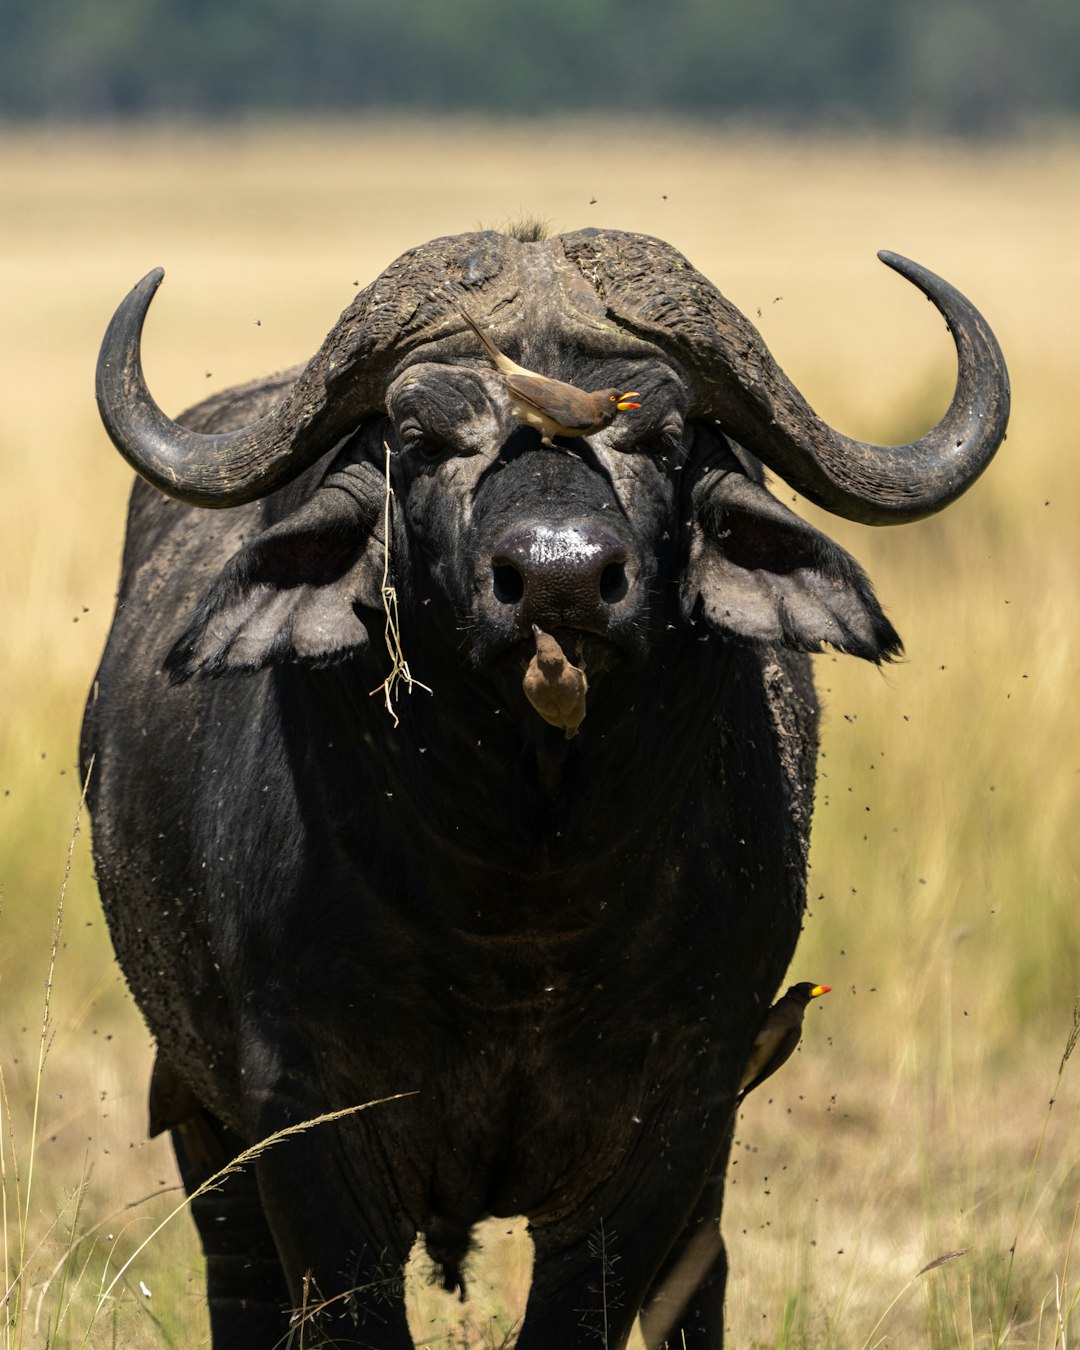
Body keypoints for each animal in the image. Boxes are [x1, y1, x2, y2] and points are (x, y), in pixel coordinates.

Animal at [84, 226, 1015, 1344]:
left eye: (663, 435)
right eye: (418, 435)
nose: (561, 579)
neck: (521, 904)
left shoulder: (678, 1113)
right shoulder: (300, 1115)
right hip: (198, 1117)